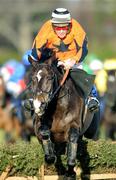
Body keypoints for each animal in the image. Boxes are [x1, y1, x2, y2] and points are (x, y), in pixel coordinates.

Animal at [28, 48, 99, 180]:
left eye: (50, 77)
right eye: (33, 78)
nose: (39, 104)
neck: (58, 109)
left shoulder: (74, 125)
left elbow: (72, 140)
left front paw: (70, 172)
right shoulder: (39, 126)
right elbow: (44, 134)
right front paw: (51, 157)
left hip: (92, 131)